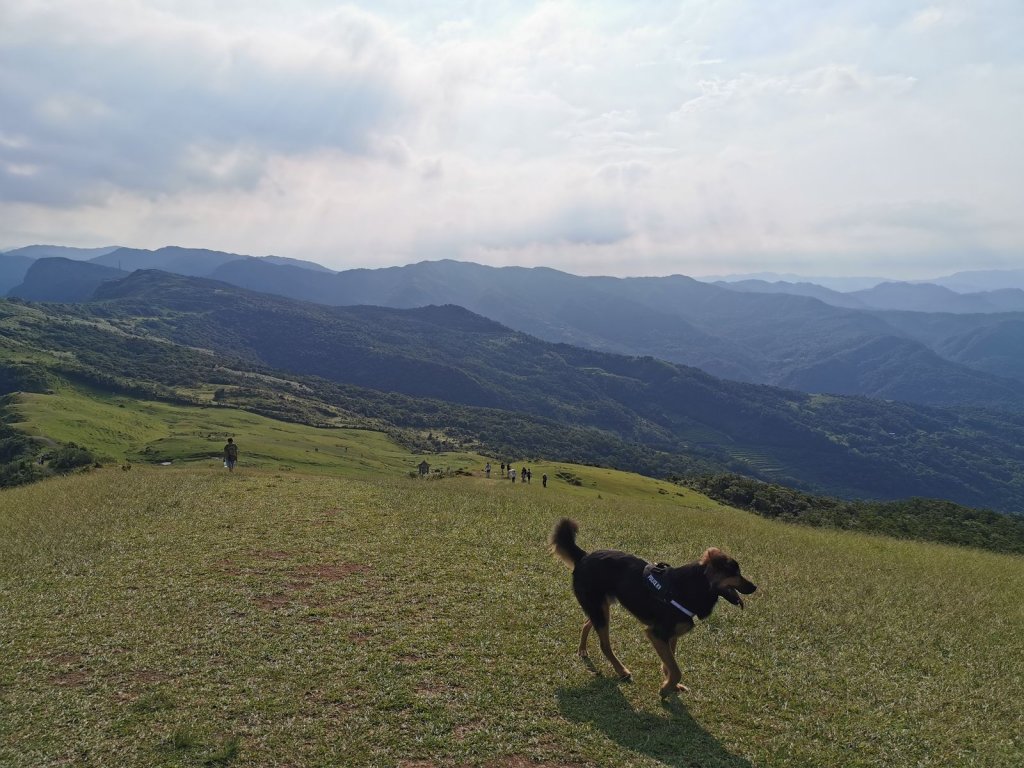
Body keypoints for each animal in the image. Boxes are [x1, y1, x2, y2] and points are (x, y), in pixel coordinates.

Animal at [548, 520, 757, 696]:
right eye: (736, 573)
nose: (755, 587)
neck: (696, 585)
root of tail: (584, 556)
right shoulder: (657, 634)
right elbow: (676, 669)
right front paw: (666, 689)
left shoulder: (670, 635)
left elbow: (670, 663)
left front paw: (671, 685)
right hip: (599, 610)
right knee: (604, 645)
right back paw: (621, 670)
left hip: (601, 607)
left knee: (586, 624)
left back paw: (583, 650)